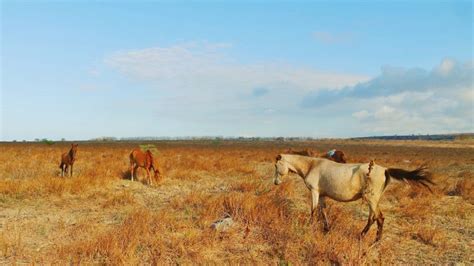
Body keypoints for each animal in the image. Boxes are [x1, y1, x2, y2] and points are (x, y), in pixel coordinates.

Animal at [274, 153, 434, 242]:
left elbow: (313, 211)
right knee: (375, 218)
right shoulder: (322, 195)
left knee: (377, 218)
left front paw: (310, 227)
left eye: (276, 166)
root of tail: (385, 170)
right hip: (373, 201)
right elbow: (323, 212)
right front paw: (326, 229)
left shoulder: (314, 192)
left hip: (371, 200)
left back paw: (371, 240)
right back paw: (367, 237)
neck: (312, 165)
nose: (275, 182)